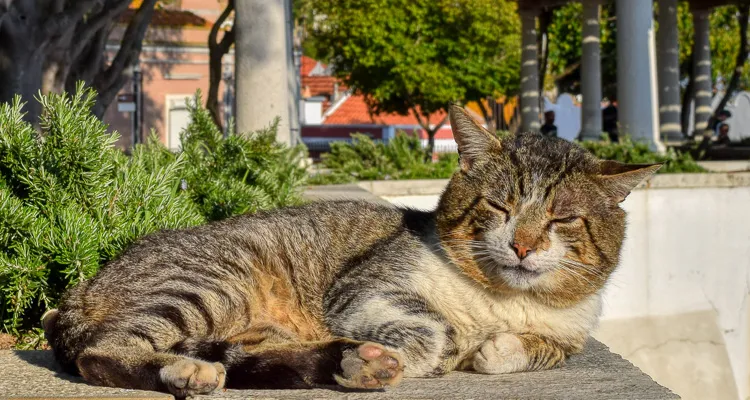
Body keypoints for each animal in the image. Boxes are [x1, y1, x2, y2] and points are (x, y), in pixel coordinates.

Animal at [44, 105, 660, 396]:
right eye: (498, 206)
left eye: (562, 218)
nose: (523, 245)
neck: (499, 300)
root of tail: (80, 290)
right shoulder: (366, 287)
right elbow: (432, 327)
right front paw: (432, 352)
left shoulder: (570, 333)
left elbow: (540, 349)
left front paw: (494, 349)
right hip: (209, 282)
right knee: (102, 353)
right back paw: (187, 371)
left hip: (251, 324)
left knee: (254, 357)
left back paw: (353, 362)